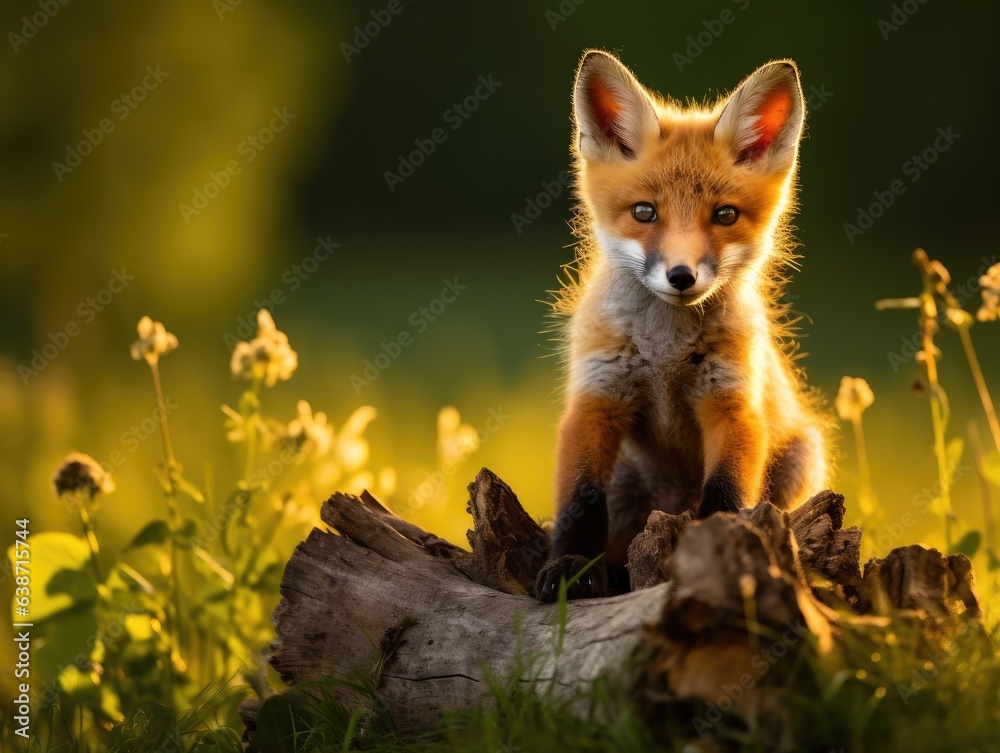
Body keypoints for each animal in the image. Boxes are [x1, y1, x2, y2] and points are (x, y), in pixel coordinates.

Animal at [534, 51, 830, 602]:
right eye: (644, 212)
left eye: (725, 215)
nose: (681, 276)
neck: (664, 350)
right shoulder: (596, 399)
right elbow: (580, 501)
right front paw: (569, 565)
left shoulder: (732, 403)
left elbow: (727, 493)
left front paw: (719, 550)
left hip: (801, 460)